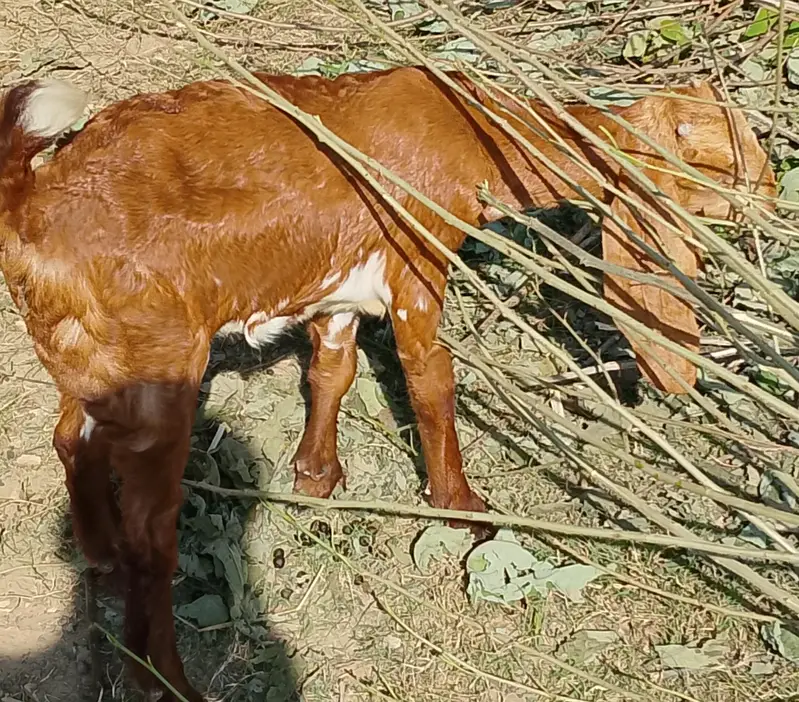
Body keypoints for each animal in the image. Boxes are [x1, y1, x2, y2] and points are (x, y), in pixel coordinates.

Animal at [0, 67, 775, 700]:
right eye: (731, 161)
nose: (773, 199)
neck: (474, 131)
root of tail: (30, 200)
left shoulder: (340, 291)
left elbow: (334, 368)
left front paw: (318, 477)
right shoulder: (416, 260)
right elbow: (431, 378)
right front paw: (464, 509)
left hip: (91, 358)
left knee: (71, 438)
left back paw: (98, 553)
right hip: (159, 367)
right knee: (152, 531)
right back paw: (166, 680)